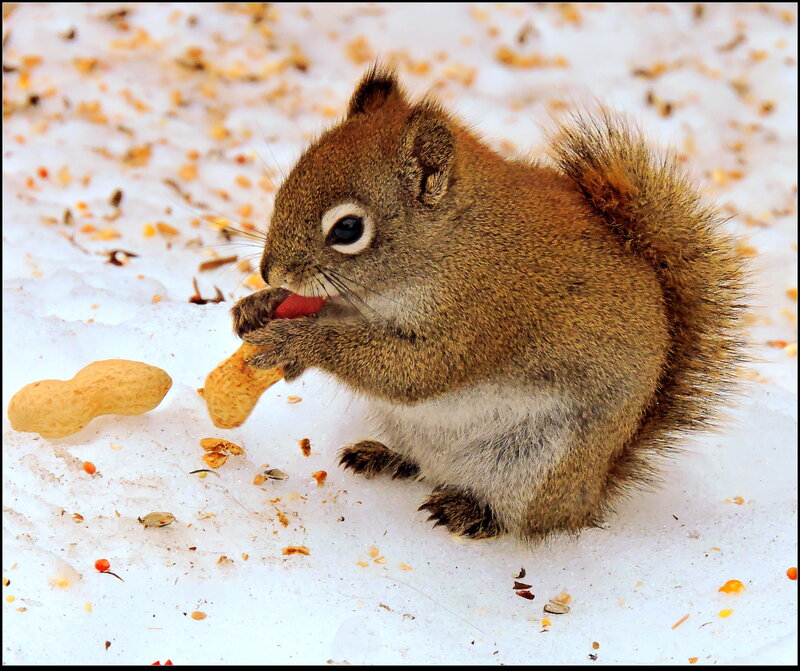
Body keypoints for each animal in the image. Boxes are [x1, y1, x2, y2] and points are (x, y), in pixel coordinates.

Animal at [231, 65, 746, 541]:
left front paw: (298, 342)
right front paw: (257, 307)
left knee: (525, 520)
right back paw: (387, 457)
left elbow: (413, 371)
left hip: (536, 465)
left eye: (347, 229)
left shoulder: (483, 310)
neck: (451, 239)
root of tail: (591, 493)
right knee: (424, 465)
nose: (270, 272)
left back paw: (471, 512)